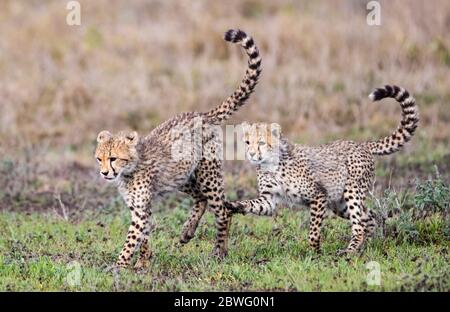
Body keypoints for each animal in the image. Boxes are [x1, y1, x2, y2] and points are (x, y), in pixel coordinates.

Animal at [96, 28, 262, 268]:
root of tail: (201, 114)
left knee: (222, 210)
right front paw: (143, 261)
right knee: (201, 199)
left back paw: (218, 252)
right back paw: (187, 233)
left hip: (207, 175)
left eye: (113, 158)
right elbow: (144, 235)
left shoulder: (140, 210)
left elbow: (132, 239)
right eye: (99, 159)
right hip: (181, 177)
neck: (129, 170)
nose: (104, 173)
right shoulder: (141, 207)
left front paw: (119, 266)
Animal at [225, 84, 418, 254]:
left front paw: (315, 253)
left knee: (359, 225)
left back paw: (349, 251)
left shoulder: (319, 195)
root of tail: (361, 144)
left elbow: (313, 231)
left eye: (261, 143)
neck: (271, 163)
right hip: (339, 204)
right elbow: (251, 204)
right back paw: (365, 246)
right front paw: (233, 205)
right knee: (368, 217)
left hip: (351, 192)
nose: (251, 154)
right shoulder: (270, 199)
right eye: (247, 142)